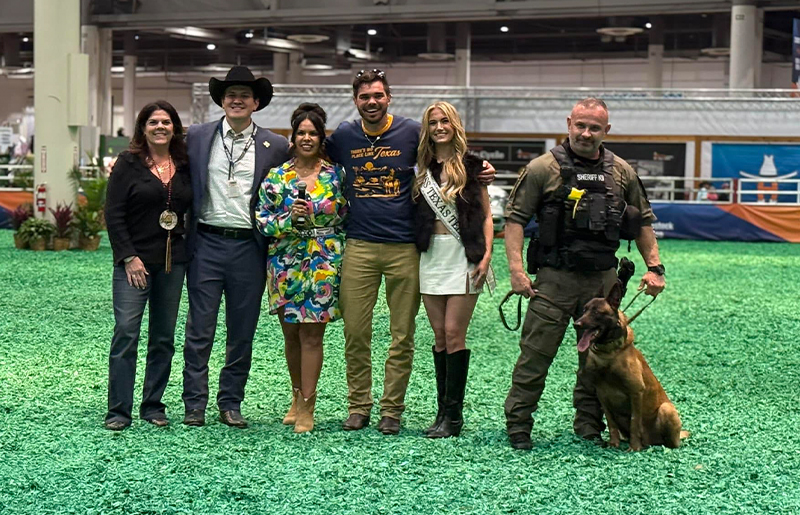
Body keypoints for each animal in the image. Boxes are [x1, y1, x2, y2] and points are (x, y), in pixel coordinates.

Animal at [576, 260, 688, 450]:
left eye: (597, 312)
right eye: (584, 310)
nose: (577, 324)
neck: (608, 353)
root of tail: (652, 442)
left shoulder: (636, 392)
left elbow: (635, 422)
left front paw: (634, 448)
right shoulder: (602, 395)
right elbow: (611, 424)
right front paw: (613, 444)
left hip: (667, 409)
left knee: (671, 442)